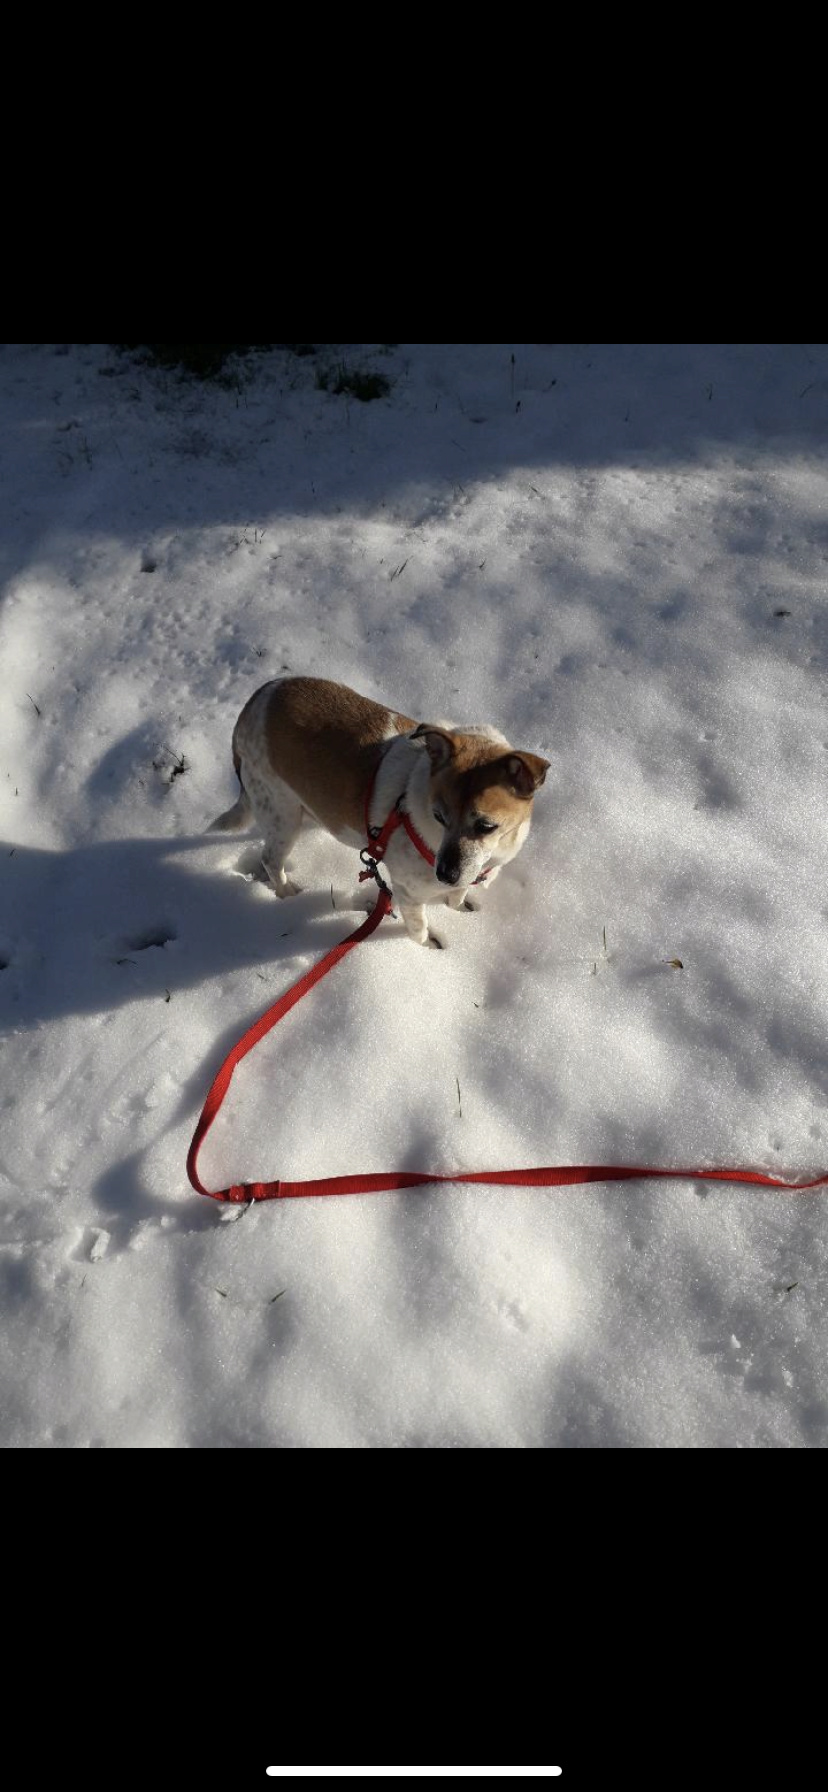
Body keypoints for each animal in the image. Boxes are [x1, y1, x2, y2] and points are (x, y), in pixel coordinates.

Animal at [208, 673, 548, 953]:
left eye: (486, 826)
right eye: (438, 817)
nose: (444, 875)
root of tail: (256, 700)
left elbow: (458, 896)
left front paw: (460, 908)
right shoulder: (408, 893)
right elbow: (418, 927)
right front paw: (428, 946)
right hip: (281, 812)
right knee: (270, 859)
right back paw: (288, 892)